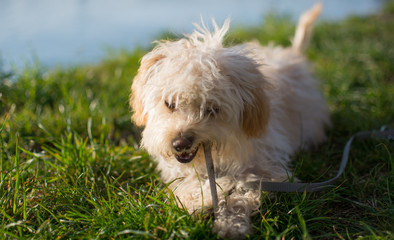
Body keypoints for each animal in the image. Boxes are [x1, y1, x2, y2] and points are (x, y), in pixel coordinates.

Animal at [130, 3, 330, 238]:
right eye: (169, 103)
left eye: (211, 109)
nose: (180, 144)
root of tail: (292, 53)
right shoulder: (178, 175)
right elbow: (186, 189)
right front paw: (209, 195)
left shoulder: (269, 172)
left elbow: (242, 197)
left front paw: (231, 224)